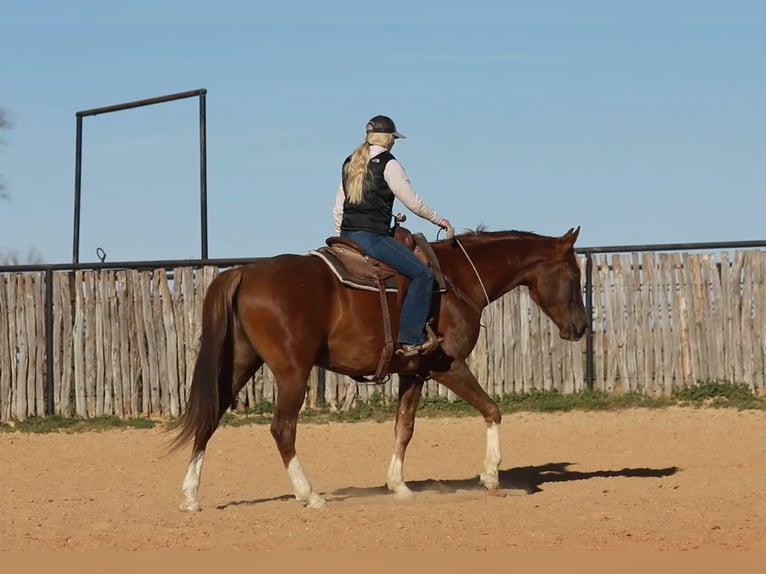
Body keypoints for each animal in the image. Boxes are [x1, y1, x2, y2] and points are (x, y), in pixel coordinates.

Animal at [171, 227, 588, 510]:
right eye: (573, 276)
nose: (581, 327)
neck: (456, 280)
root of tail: (245, 272)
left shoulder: (414, 373)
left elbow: (404, 428)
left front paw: (398, 486)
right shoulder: (449, 367)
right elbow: (492, 409)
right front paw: (490, 476)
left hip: (241, 363)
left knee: (210, 418)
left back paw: (191, 495)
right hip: (293, 372)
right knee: (282, 429)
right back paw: (309, 494)